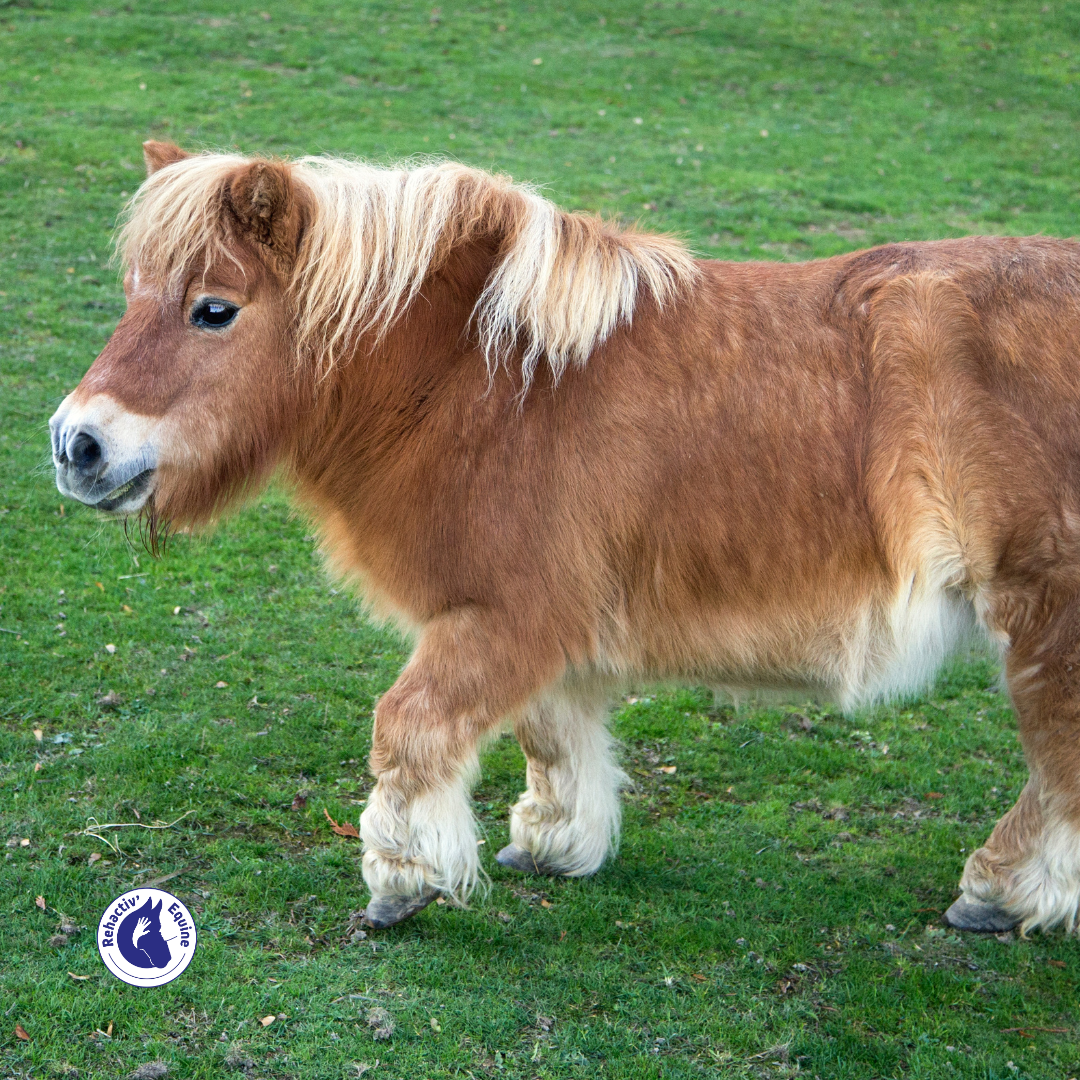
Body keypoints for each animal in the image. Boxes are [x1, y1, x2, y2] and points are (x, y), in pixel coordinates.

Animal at [50, 139, 1080, 933]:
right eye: (133, 293)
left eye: (213, 310)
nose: (76, 445)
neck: (484, 382)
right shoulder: (540, 628)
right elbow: (549, 732)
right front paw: (553, 842)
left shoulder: (506, 615)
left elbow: (409, 728)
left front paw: (401, 879)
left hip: (1045, 613)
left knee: (1057, 757)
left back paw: (1000, 894)